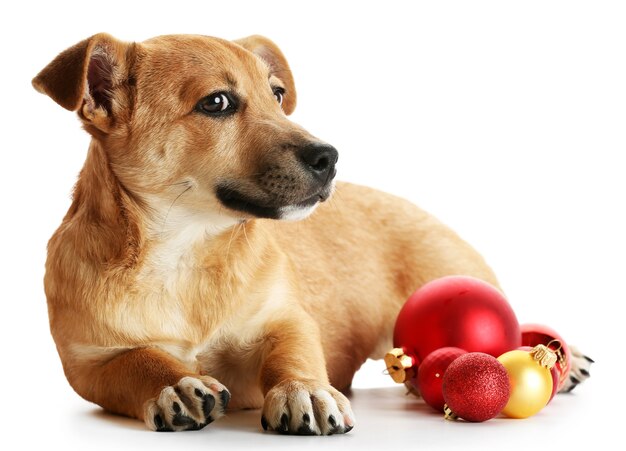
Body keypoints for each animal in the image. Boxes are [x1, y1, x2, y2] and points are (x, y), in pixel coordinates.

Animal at [33, 33, 588, 436]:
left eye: (277, 95)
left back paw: (563, 355)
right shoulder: (88, 364)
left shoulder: (287, 319)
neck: (187, 251)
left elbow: (292, 352)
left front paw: (305, 391)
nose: (330, 157)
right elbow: (136, 362)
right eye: (217, 103)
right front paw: (178, 383)